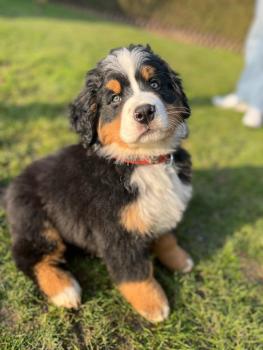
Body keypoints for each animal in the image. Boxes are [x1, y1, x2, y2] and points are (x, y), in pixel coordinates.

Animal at [4, 45, 194, 324]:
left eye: (155, 83)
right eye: (114, 98)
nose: (144, 111)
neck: (144, 160)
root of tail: (11, 186)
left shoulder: (160, 208)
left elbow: (167, 237)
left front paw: (180, 260)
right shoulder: (117, 231)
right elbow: (136, 272)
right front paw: (154, 305)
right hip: (35, 219)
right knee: (31, 256)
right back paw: (65, 289)